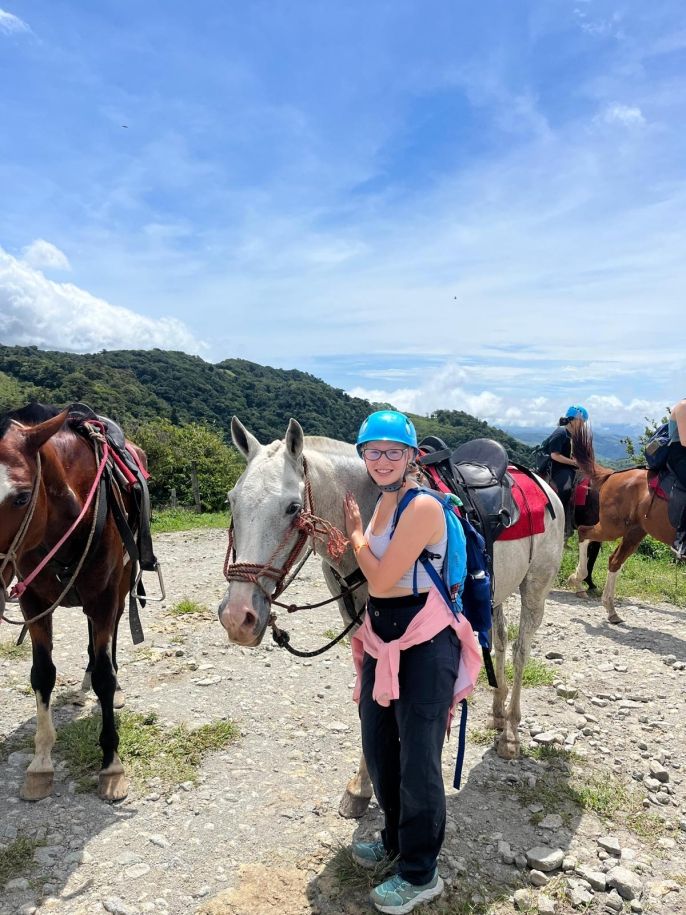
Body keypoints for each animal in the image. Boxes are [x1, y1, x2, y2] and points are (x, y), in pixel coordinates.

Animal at [0, 406, 150, 800]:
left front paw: (111, 765)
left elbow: (104, 676)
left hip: (120, 587)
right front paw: (40, 765)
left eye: (21, 497)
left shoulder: (103, 597)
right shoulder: (33, 602)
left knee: (112, 636)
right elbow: (42, 674)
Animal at [219, 418, 564, 820]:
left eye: (293, 507)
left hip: (535, 587)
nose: (237, 617)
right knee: (501, 643)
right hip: (494, 591)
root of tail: (540, 482)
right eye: (232, 500)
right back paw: (496, 713)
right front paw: (360, 786)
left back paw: (510, 734)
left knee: (522, 651)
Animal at [568, 422, 676, 624]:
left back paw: (609, 608)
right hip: (613, 527)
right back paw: (580, 580)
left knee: (614, 560)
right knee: (585, 532)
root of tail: (612, 475)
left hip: (635, 531)